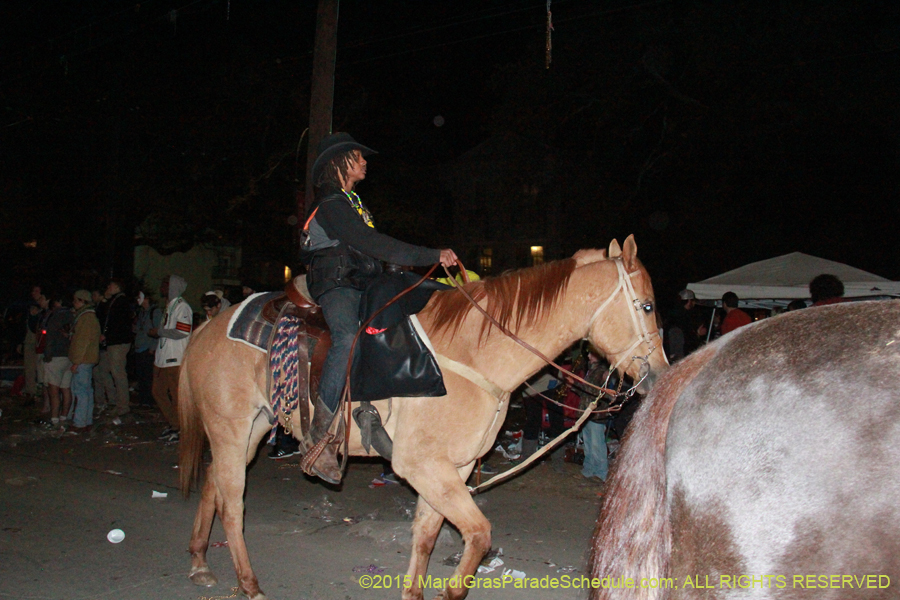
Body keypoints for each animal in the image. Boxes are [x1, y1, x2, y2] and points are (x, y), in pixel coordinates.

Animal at [179, 236, 668, 600]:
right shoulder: (421, 465)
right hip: (231, 428)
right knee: (232, 504)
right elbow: (478, 536)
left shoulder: (454, 468)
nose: (661, 375)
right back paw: (248, 583)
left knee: (214, 482)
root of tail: (206, 328)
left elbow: (427, 537)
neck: (471, 354)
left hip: (253, 428)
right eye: (646, 306)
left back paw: (200, 562)